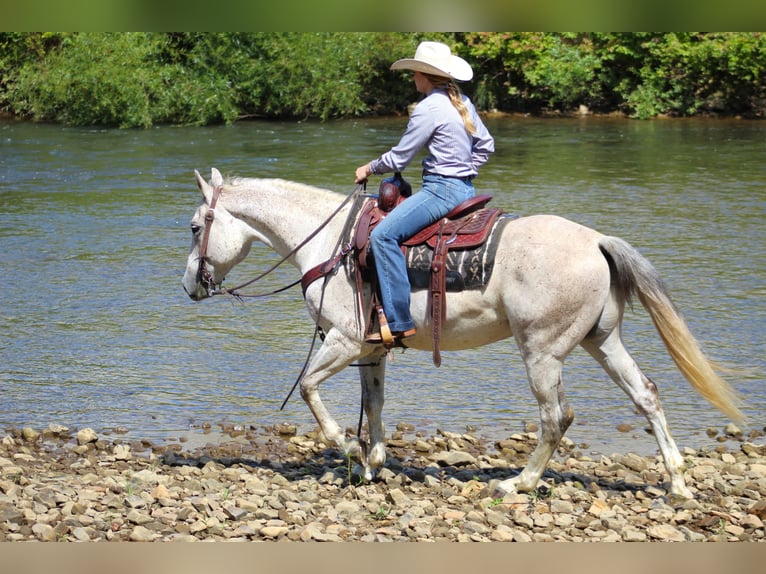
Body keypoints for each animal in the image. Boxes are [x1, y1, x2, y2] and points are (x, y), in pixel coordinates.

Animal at [182, 168, 744, 500]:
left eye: (193, 227)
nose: (189, 284)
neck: (331, 243)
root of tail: (597, 241)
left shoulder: (343, 341)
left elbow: (309, 389)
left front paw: (348, 449)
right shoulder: (370, 350)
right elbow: (375, 403)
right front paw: (372, 462)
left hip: (542, 352)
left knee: (556, 417)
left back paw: (520, 482)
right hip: (601, 341)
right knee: (646, 395)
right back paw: (677, 484)